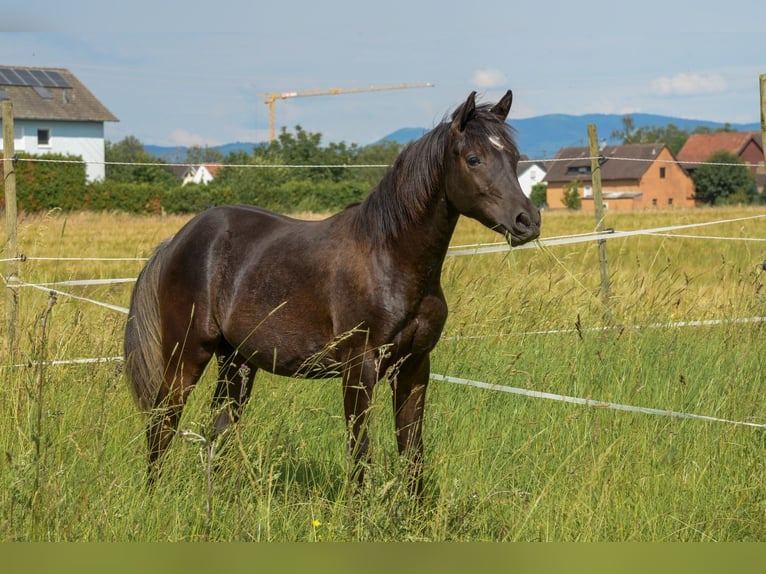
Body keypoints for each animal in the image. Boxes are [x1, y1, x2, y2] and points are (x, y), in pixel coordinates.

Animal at [124, 91, 540, 496]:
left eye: (514, 156)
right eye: (473, 158)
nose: (527, 221)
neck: (389, 258)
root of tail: (178, 240)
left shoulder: (415, 366)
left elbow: (412, 454)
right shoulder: (360, 367)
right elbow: (360, 453)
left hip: (236, 362)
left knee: (220, 431)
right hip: (187, 353)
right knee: (162, 423)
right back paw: (153, 499)